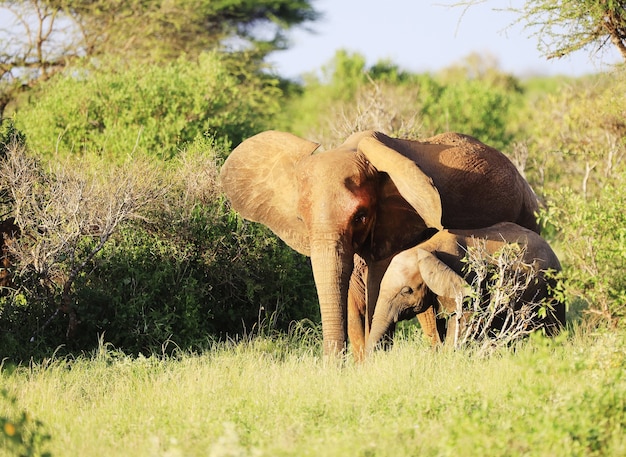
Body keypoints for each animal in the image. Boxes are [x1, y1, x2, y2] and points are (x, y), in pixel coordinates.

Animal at [218, 128, 536, 356]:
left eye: (360, 216)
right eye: (300, 219)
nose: (334, 370)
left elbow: (377, 287)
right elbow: (350, 292)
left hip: (526, 212)